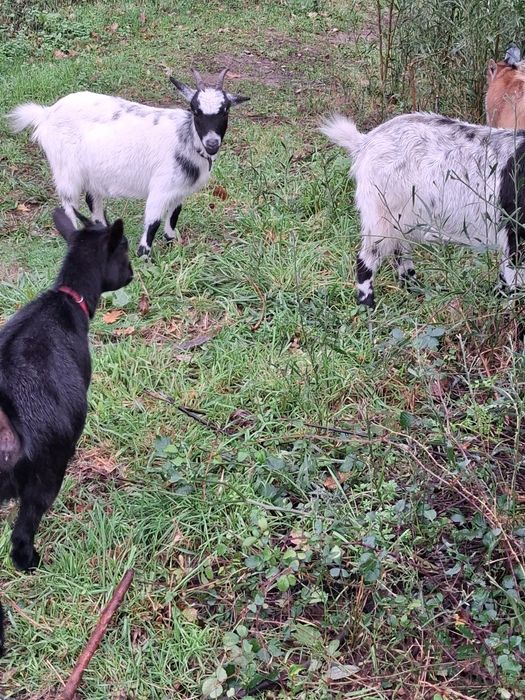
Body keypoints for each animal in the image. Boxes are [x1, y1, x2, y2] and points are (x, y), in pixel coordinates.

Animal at [0, 208, 132, 656]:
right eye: (126, 253)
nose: (132, 274)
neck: (66, 297)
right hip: (47, 468)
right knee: (22, 533)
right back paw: (29, 563)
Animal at [8, 68, 249, 257]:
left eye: (226, 110)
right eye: (195, 110)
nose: (212, 143)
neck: (187, 139)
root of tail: (46, 114)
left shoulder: (179, 189)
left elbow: (174, 215)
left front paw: (172, 244)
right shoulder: (160, 188)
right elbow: (153, 222)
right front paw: (145, 257)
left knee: (93, 200)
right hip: (66, 168)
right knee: (69, 203)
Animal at [321, 112, 525, 307]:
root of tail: (364, 142)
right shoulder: (515, 234)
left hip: (401, 216)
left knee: (400, 252)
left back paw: (415, 291)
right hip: (381, 213)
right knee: (367, 258)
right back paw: (367, 306)